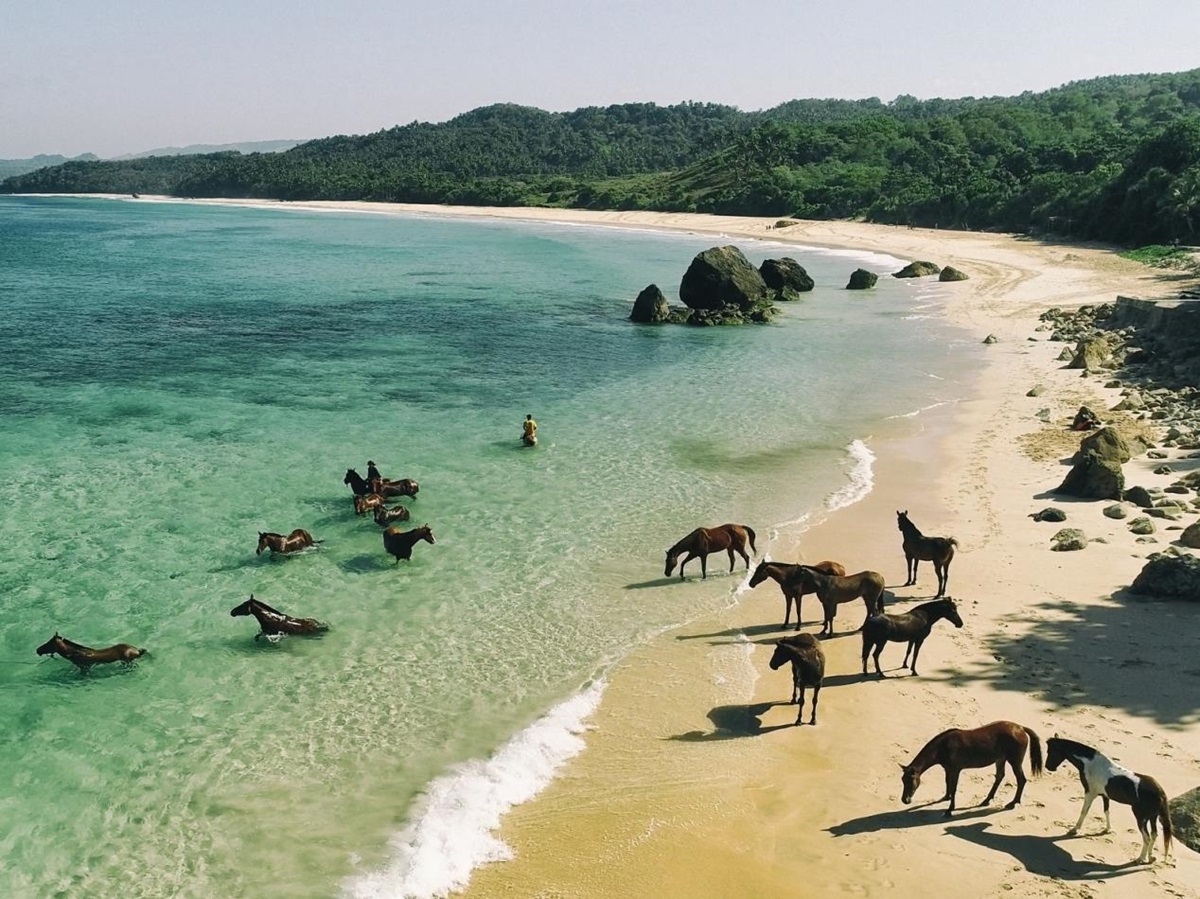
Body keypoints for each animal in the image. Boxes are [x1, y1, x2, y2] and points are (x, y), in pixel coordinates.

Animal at [900, 720, 1043, 817]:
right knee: (1000, 776)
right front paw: (946, 797)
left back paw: (1013, 803)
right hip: (1000, 759)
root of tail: (1020, 728)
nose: (904, 800)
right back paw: (986, 800)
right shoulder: (948, 769)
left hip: (1015, 761)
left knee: (1021, 780)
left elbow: (954, 788)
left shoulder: (956, 769)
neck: (943, 747)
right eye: (902, 780)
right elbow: (947, 783)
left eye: (910, 781)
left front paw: (949, 810)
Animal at [1046, 736, 1173, 864]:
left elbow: (1084, 811)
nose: (1048, 767)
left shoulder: (1090, 793)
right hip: (1152, 817)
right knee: (1154, 835)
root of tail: (1159, 792)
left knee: (1147, 838)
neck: (1090, 763)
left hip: (1141, 818)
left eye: (1051, 751)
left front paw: (1074, 830)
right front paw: (1107, 829)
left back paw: (1139, 859)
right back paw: (1150, 858)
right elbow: (1106, 811)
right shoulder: (1104, 796)